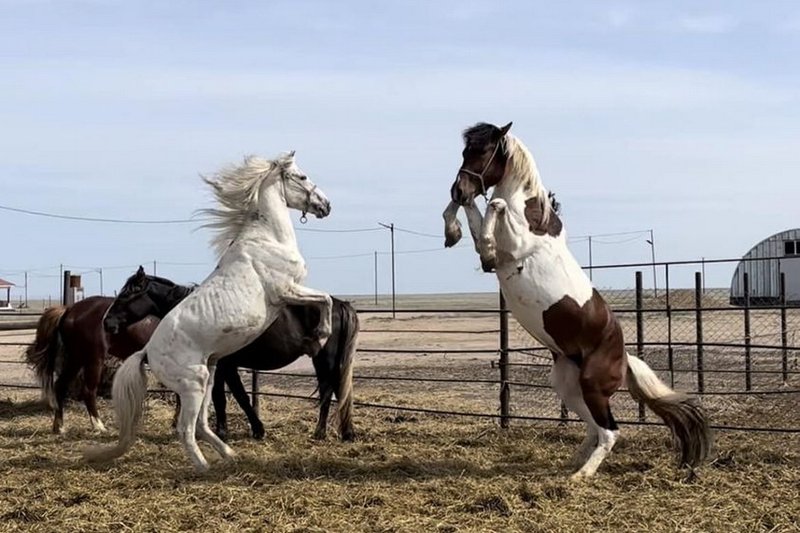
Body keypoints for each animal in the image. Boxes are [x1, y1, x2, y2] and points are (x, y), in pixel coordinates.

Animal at [23, 296, 159, 432]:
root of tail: (70, 310)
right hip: (93, 360)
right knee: (88, 391)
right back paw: (99, 426)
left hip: (76, 359)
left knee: (60, 386)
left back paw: (59, 427)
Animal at [86, 151, 334, 470]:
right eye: (302, 177)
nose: (325, 205)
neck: (267, 239)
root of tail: (147, 352)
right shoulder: (286, 290)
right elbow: (325, 299)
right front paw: (319, 337)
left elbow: (325, 299)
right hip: (194, 384)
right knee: (186, 428)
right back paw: (204, 467)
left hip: (210, 375)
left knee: (202, 425)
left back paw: (229, 455)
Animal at [104, 264, 360, 440]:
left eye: (127, 294)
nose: (107, 322)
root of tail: (339, 304)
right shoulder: (222, 366)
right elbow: (230, 396)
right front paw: (251, 429)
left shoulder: (224, 366)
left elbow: (230, 397)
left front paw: (233, 431)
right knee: (337, 390)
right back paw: (345, 432)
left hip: (324, 360)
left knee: (328, 390)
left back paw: (320, 432)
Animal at [444, 121, 712, 478]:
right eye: (465, 151)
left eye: (484, 151)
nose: (459, 189)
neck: (531, 215)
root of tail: (624, 358)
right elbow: (472, 212)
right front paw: (452, 229)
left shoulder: (513, 247)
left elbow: (492, 208)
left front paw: (475, 229)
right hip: (569, 387)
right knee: (594, 428)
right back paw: (575, 461)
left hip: (592, 386)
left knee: (610, 430)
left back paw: (581, 474)